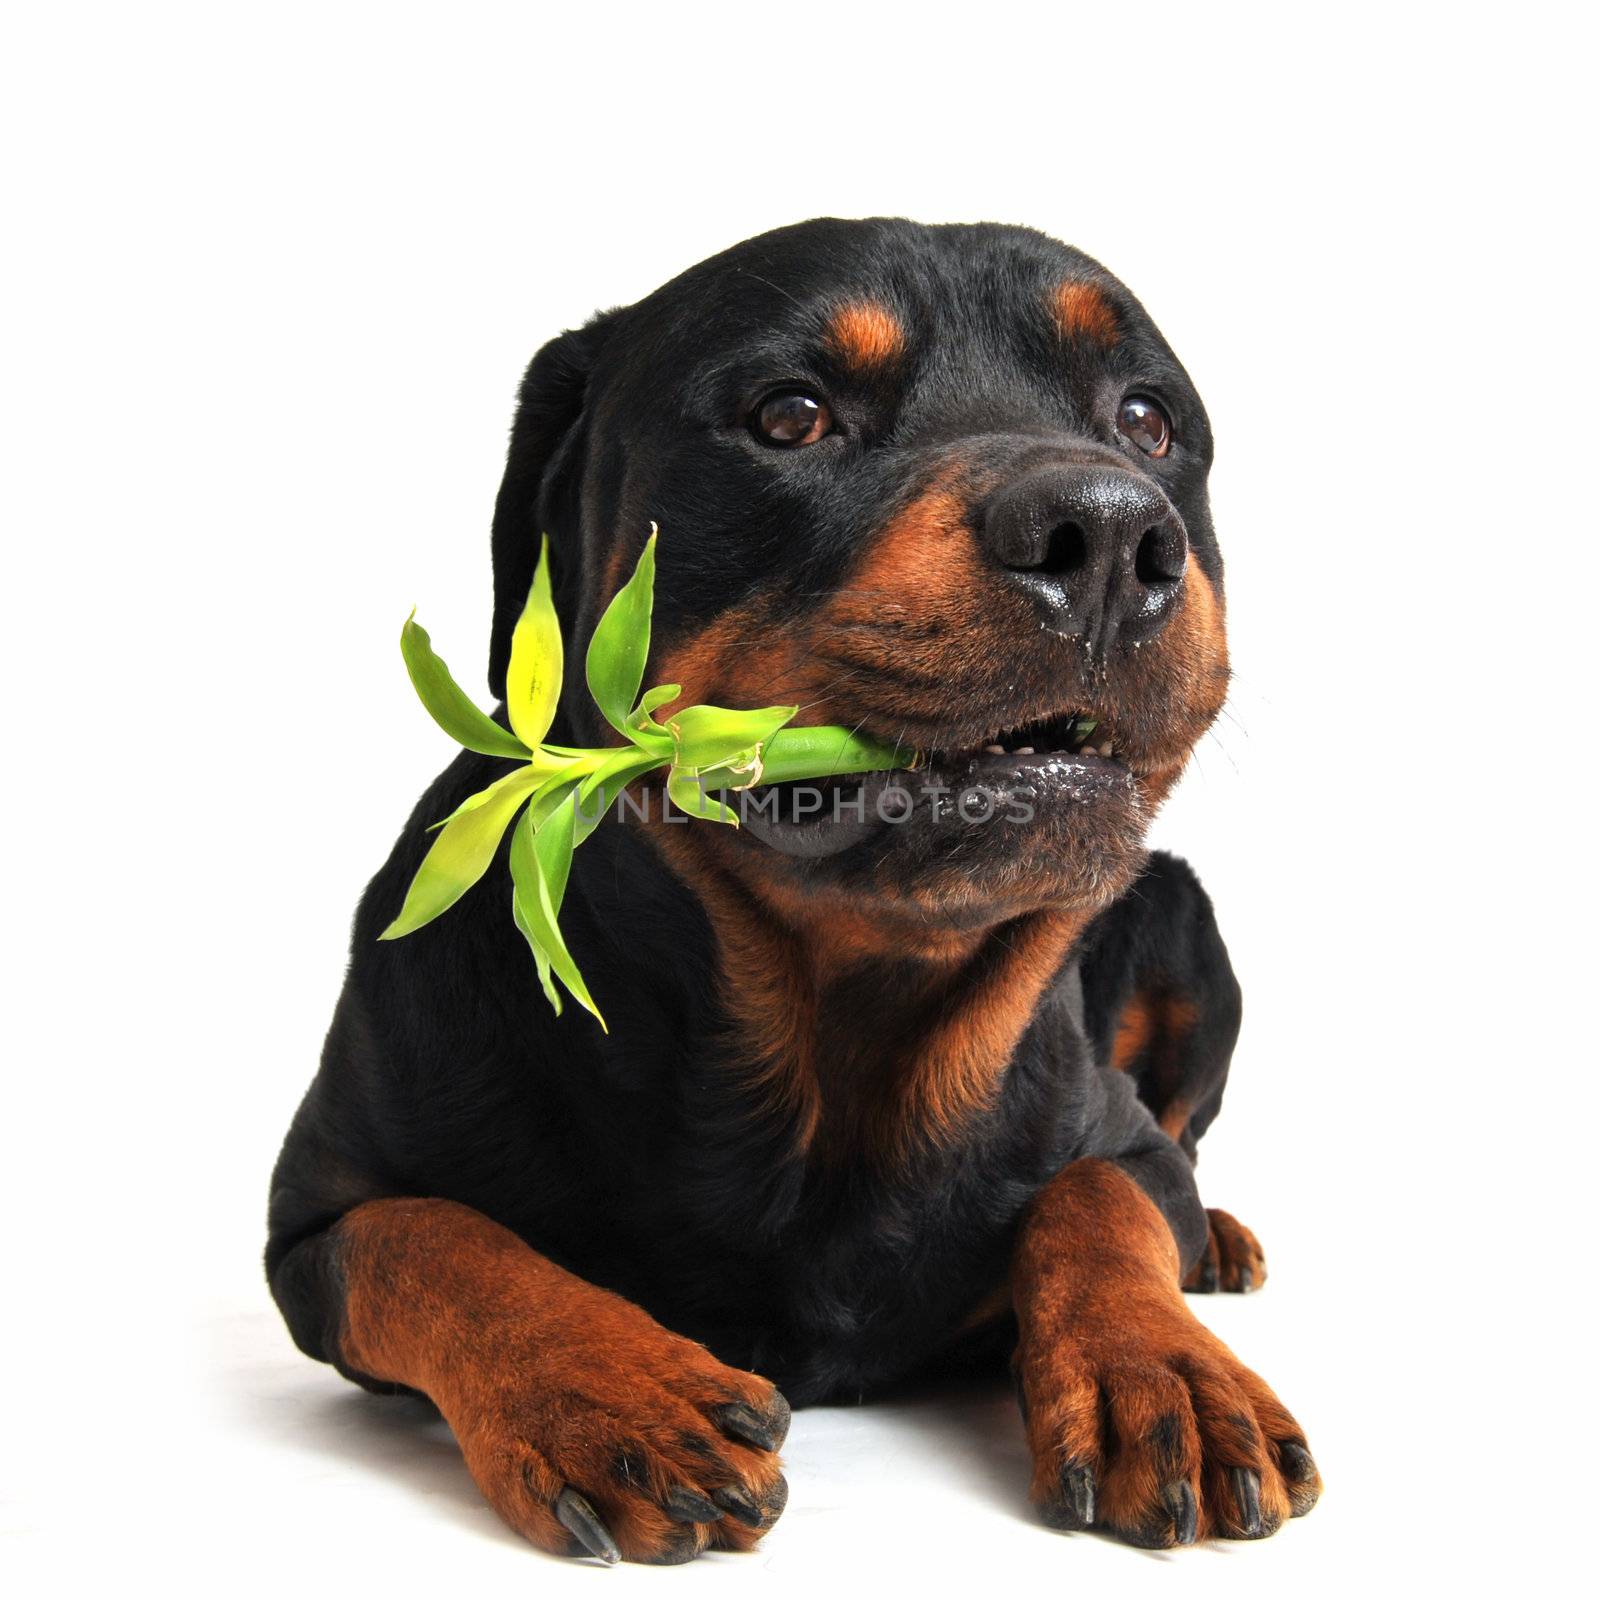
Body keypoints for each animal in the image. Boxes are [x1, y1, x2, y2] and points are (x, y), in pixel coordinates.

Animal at [268, 219, 1318, 1568]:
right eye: (789, 414)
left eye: (1146, 420)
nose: (1106, 533)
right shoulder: (313, 1214)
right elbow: (426, 1235)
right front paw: (609, 1386)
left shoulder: (1120, 1140)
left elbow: (1103, 1192)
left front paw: (1161, 1367)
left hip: (1187, 923)